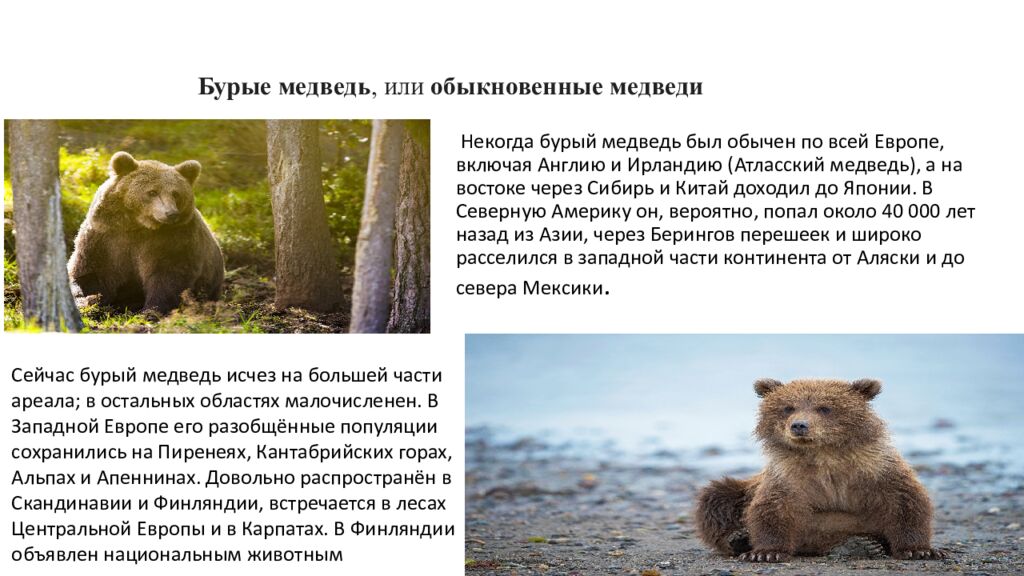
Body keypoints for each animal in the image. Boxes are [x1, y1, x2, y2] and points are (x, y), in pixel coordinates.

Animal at [67, 151, 224, 314]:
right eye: (152, 192)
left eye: (176, 193)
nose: (171, 213)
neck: (138, 225)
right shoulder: (105, 236)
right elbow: (90, 273)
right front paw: (87, 301)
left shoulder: (174, 239)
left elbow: (169, 277)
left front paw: (151, 310)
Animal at [695, 378, 945, 562]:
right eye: (788, 407)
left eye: (824, 408)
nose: (799, 425)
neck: (824, 454)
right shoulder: (789, 477)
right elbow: (773, 507)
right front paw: (765, 552)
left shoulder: (875, 468)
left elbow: (905, 499)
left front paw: (920, 550)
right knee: (717, 496)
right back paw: (737, 538)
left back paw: (863, 545)